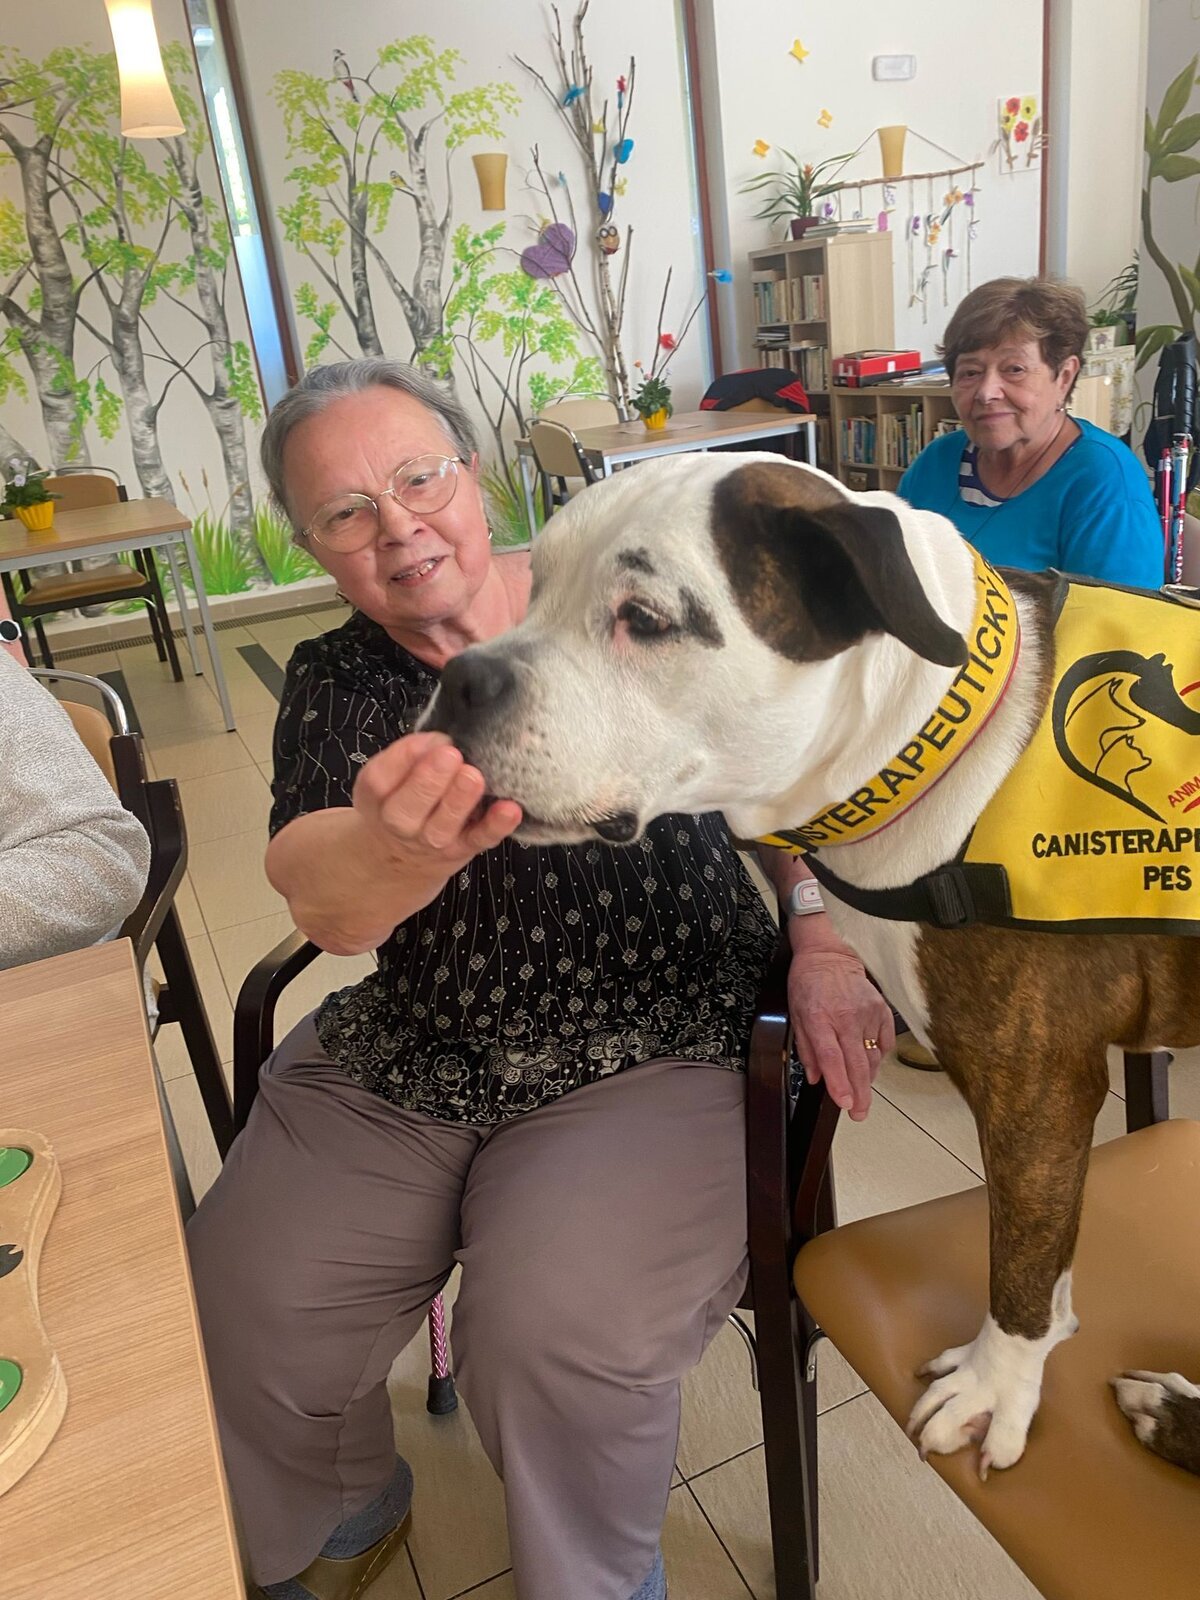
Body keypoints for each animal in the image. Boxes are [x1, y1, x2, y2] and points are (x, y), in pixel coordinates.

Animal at [422, 450, 1200, 1479]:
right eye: (534, 585)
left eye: (646, 619)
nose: (459, 677)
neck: (929, 741)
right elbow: (1055, 1238)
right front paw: (1053, 1338)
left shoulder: (1038, 1087)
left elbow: (1023, 1249)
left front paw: (999, 1384)